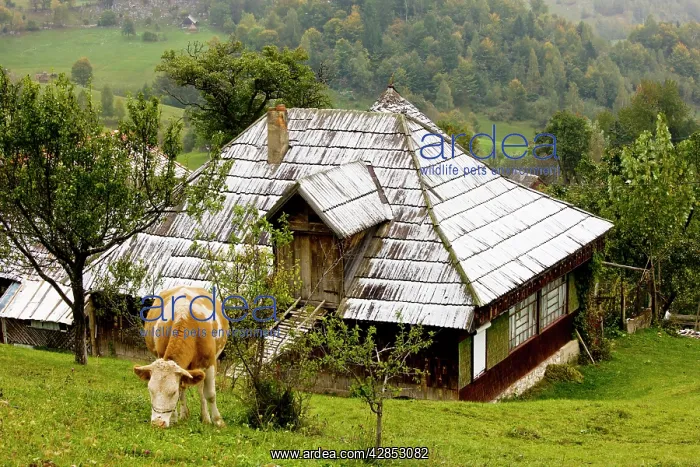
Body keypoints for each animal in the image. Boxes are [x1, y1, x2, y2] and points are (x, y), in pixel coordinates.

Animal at [133, 286, 229, 428]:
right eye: (150, 390)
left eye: (173, 392)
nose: (158, 423)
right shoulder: (162, 356)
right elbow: (182, 390)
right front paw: (174, 418)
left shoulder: (210, 362)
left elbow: (210, 394)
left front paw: (218, 421)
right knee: (185, 387)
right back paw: (184, 415)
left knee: (201, 390)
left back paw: (205, 418)